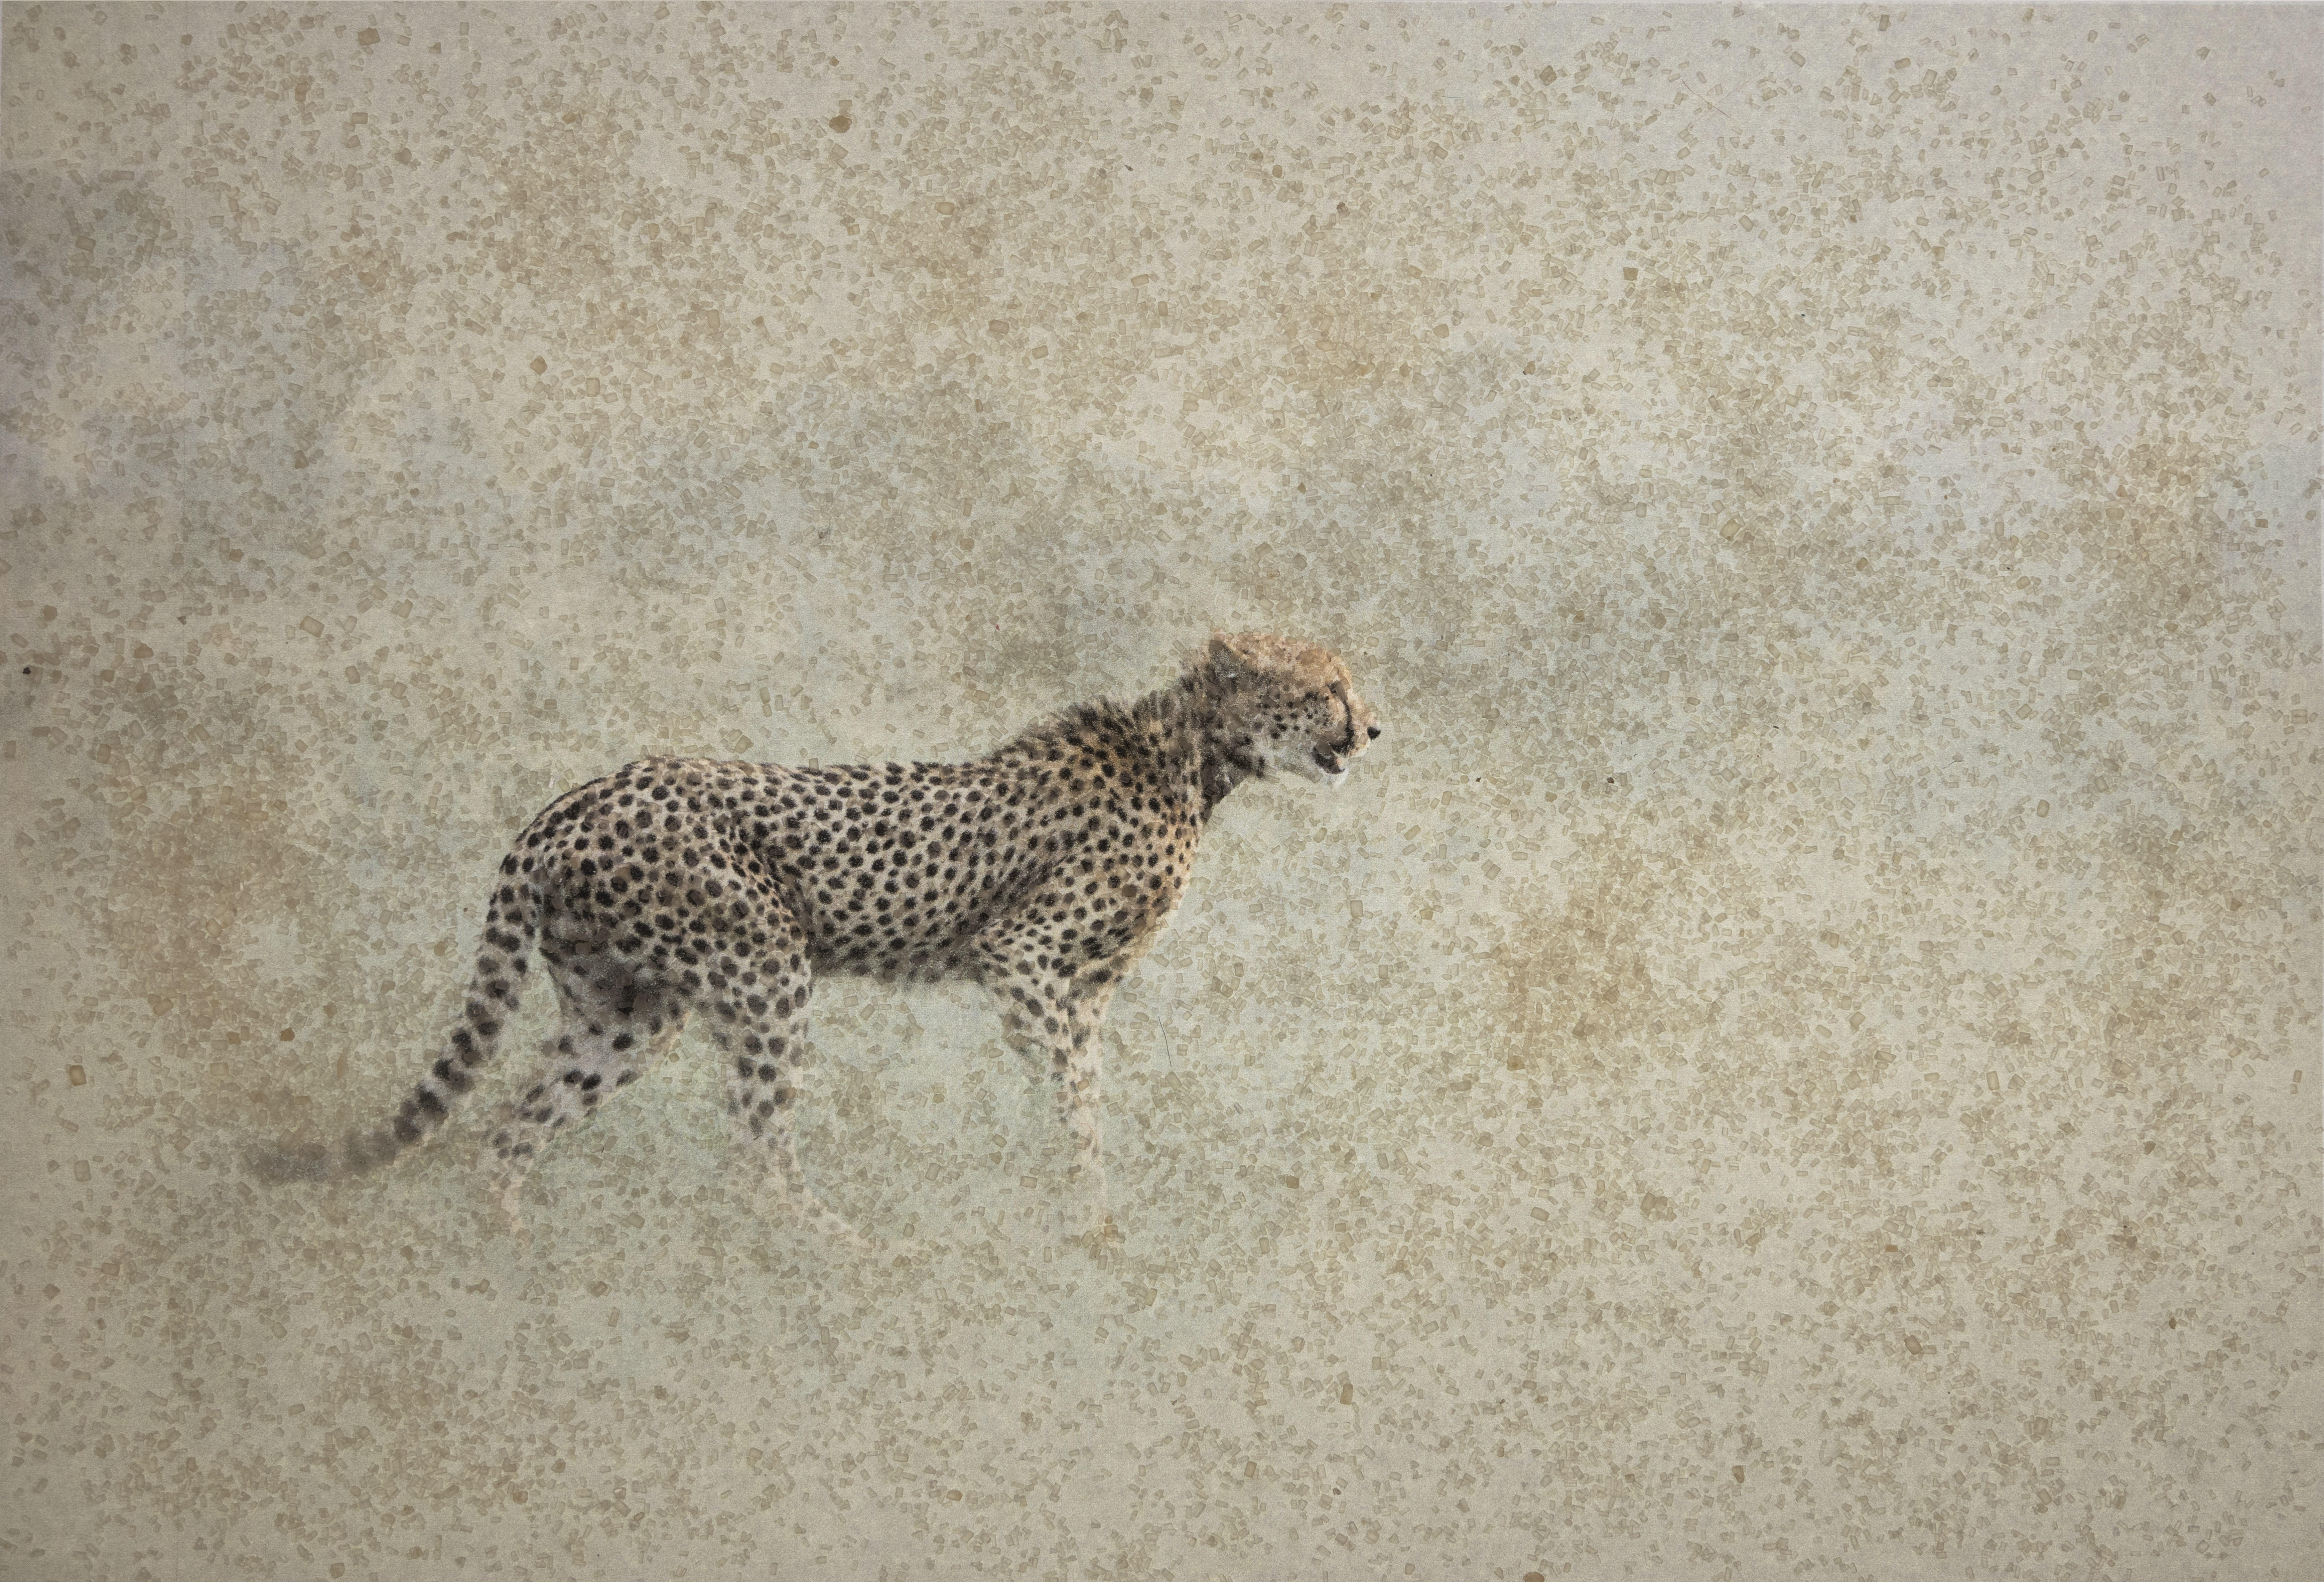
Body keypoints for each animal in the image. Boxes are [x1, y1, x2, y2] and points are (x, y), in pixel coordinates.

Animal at [255, 631, 1381, 1245]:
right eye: (1324, 688)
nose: (1372, 729)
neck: (1194, 756)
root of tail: (579, 794)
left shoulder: (1081, 985)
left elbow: (1084, 1093)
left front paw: (1083, 1215)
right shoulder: (1020, 956)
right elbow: (1073, 1097)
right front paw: (1082, 1221)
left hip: (626, 1010)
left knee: (509, 1127)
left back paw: (513, 1263)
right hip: (764, 969)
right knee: (755, 1156)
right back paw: (859, 1257)